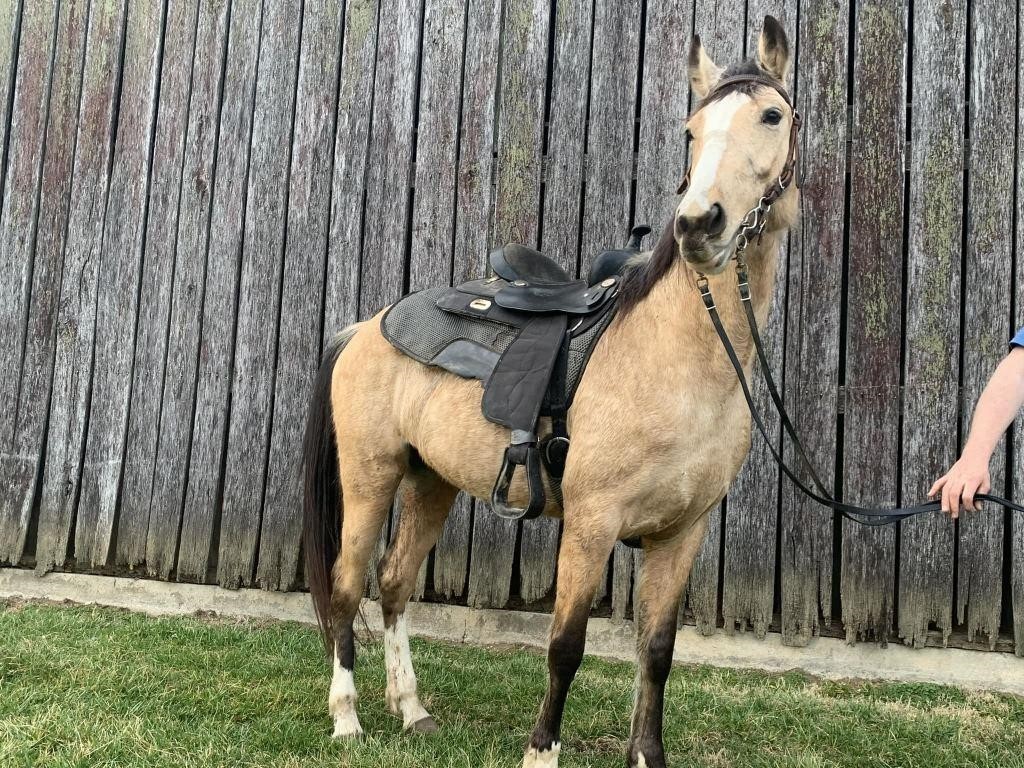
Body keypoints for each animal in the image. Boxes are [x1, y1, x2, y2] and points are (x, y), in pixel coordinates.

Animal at [303, 13, 798, 768]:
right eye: (691, 129)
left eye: (772, 115)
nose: (698, 225)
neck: (675, 359)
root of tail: (368, 325)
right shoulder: (591, 526)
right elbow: (566, 647)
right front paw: (542, 751)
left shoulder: (681, 535)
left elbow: (657, 652)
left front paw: (646, 755)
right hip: (370, 478)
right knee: (345, 584)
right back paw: (347, 717)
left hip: (431, 482)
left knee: (393, 582)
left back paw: (412, 710)